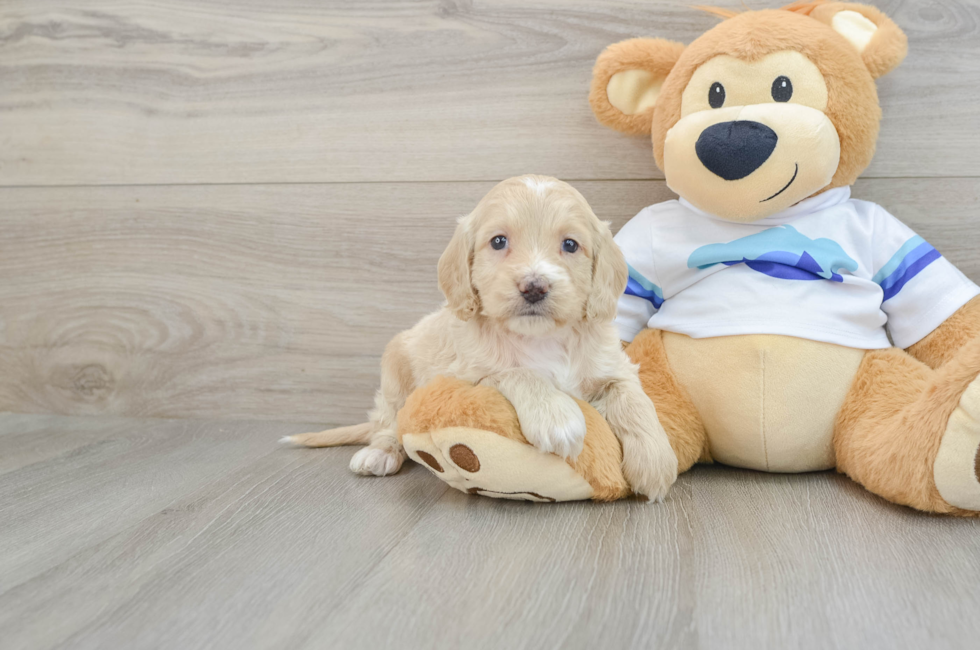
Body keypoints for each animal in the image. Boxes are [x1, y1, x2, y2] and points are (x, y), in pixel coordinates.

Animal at [286, 175, 672, 498]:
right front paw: (556, 416)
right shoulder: (465, 376)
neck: (541, 337)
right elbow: (516, 372)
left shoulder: (613, 365)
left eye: (570, 244)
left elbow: (633, 399)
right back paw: (380, 452)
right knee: (389, 421)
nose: (534, 287)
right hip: (395, 373)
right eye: (498, 241)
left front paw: (655, 460)